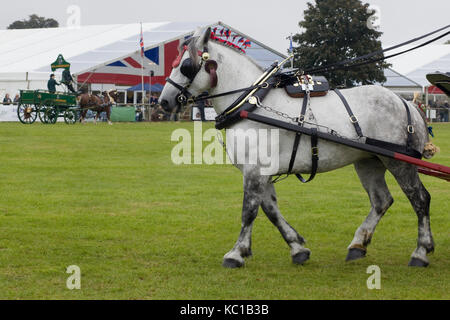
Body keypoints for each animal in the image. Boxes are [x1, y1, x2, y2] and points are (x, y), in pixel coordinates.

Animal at [160, 27, 438, 268]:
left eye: (185, 66)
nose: (164, 101)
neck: (251, 102)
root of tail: (405, 103)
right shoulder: (263, 172)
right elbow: (270, 210)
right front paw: (297, 248)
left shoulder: (255, 170)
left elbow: (249, 211)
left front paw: (236, 254)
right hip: (368, 161)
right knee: (381, 201)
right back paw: (358, 245)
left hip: (399, 162)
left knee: (420, 199)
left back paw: (420, 251)